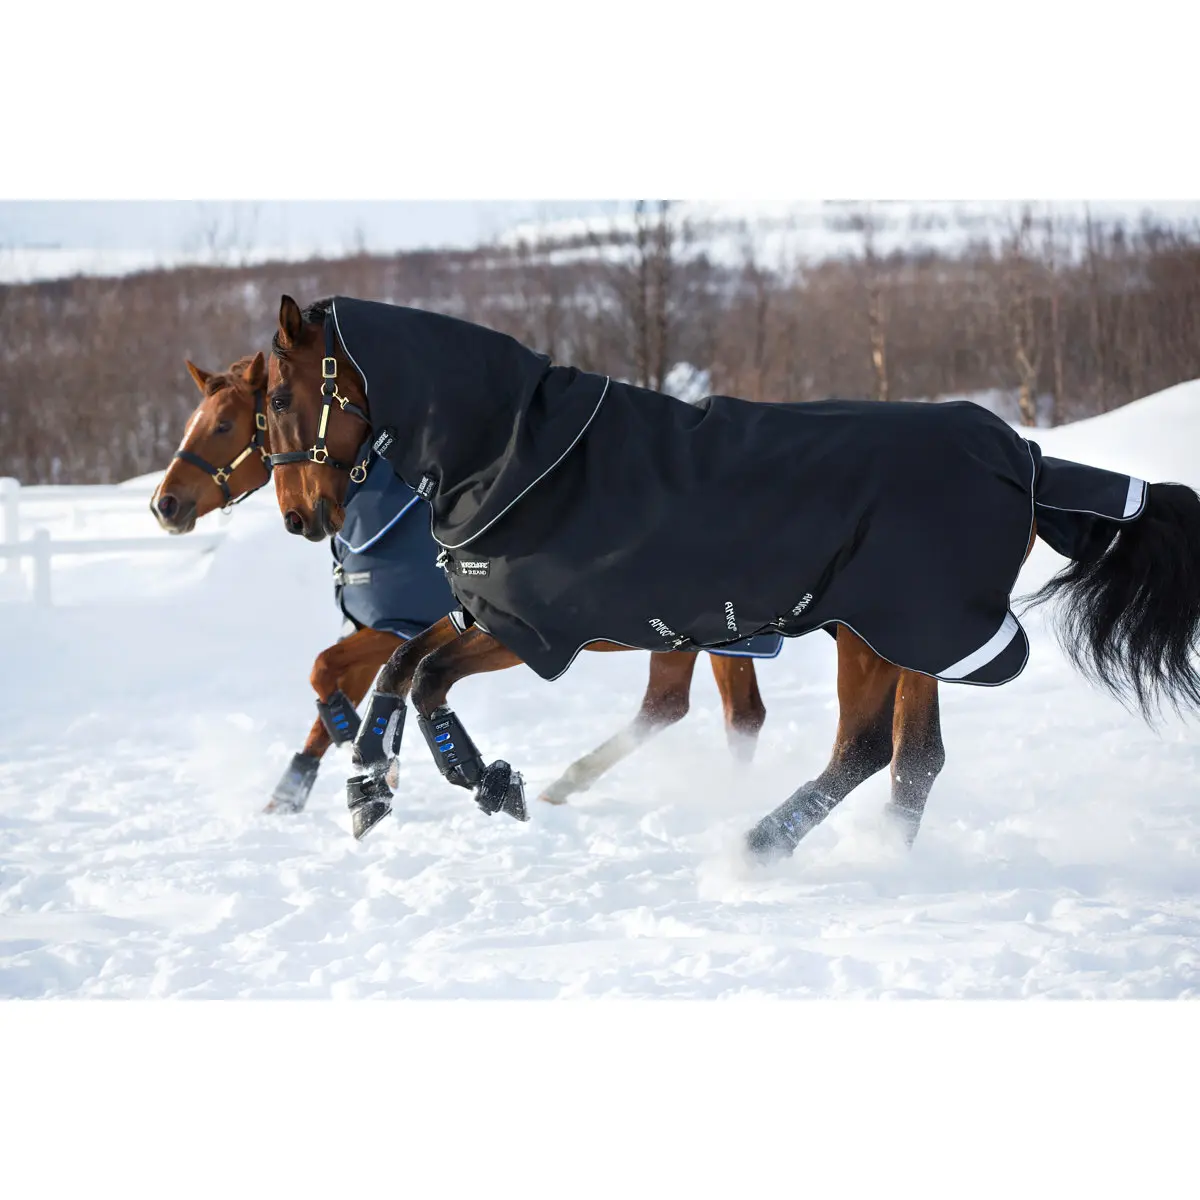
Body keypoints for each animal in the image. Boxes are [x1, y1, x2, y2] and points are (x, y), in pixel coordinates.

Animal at [151, 352, 787, 822]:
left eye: (225, 424)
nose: (165, 504)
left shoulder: (399, 627)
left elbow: (326, 669)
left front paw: (365, 751)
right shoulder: (385, 630)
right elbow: (329, 681)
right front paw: (298, 790)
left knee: (732, 715)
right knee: (672, 706)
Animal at [262, 294, 1200, 861]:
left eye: (272, 399)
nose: (303, 515)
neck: (511, 454)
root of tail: (1023, 455)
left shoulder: (538, 629)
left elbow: (422, 677)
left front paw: (478, 781)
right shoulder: (490, 616)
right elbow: (403, 667)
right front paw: (378, 789)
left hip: (882, 629)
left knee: (865, 748)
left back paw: (759, 850)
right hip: (906, 638)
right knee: (915, 759)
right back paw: (874, 856)